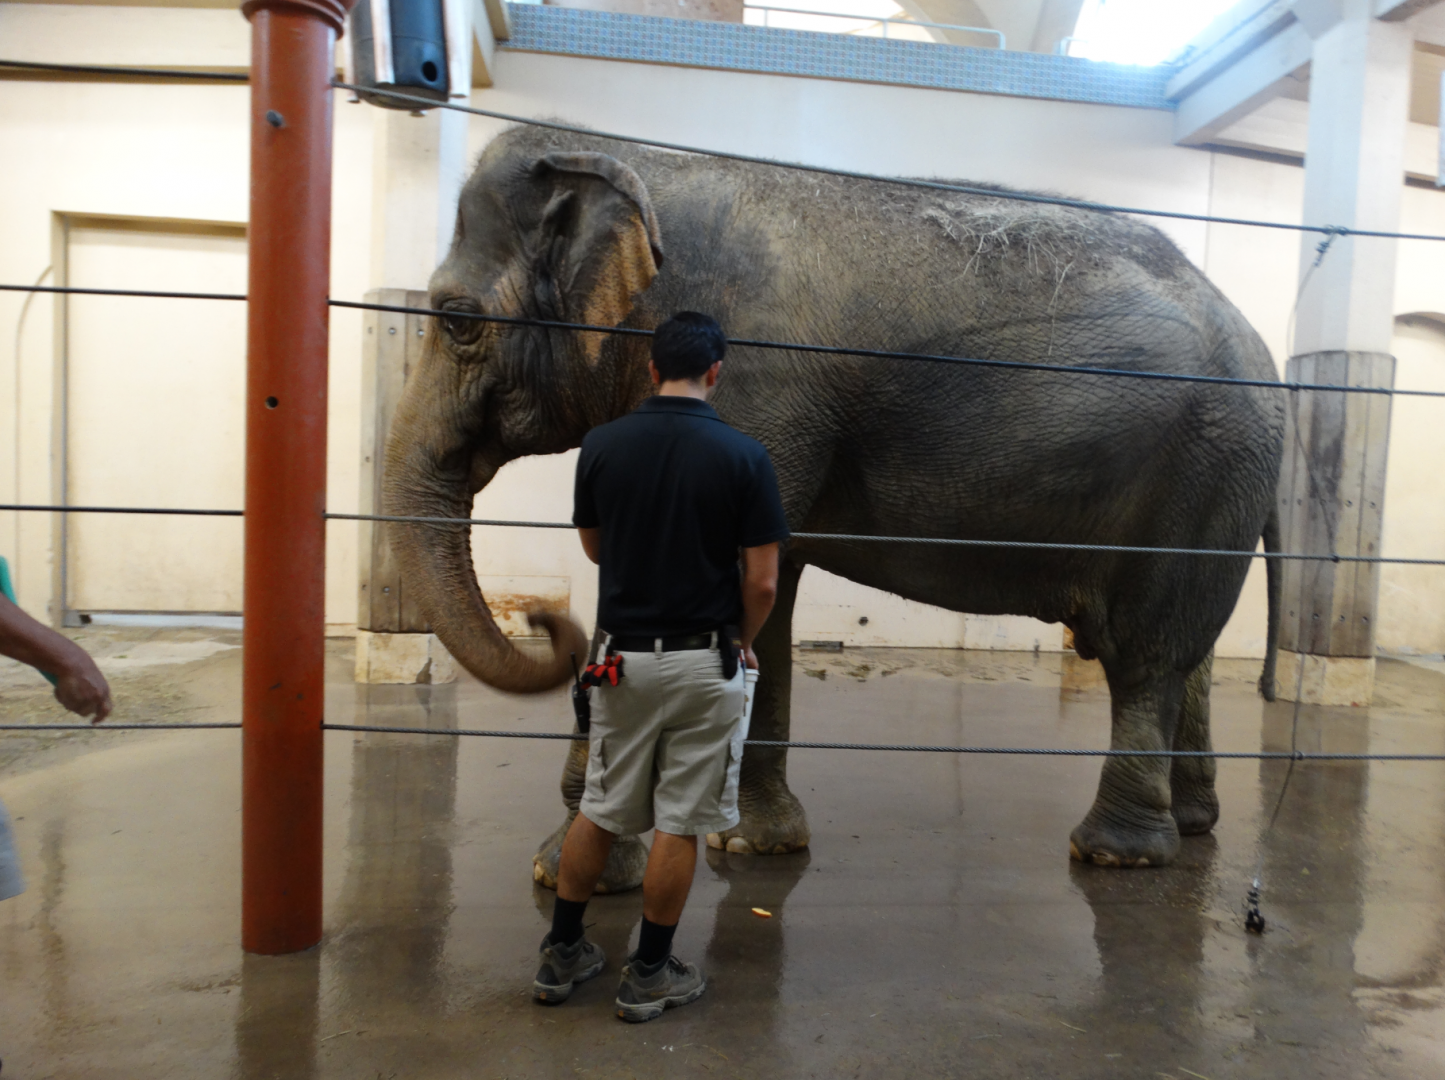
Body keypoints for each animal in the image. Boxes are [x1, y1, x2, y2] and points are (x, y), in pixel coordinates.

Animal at [381, 122, 1285, 885]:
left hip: (1202, 466)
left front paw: (579, 869)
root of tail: (1260, 346)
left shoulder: (748, 392)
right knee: (1191, 654)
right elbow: (764, 590)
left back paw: (1116, 854)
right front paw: (750, 844)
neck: (636, 159)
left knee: (1147, 653)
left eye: (455, 320)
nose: (544, 621)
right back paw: (1192, 822)